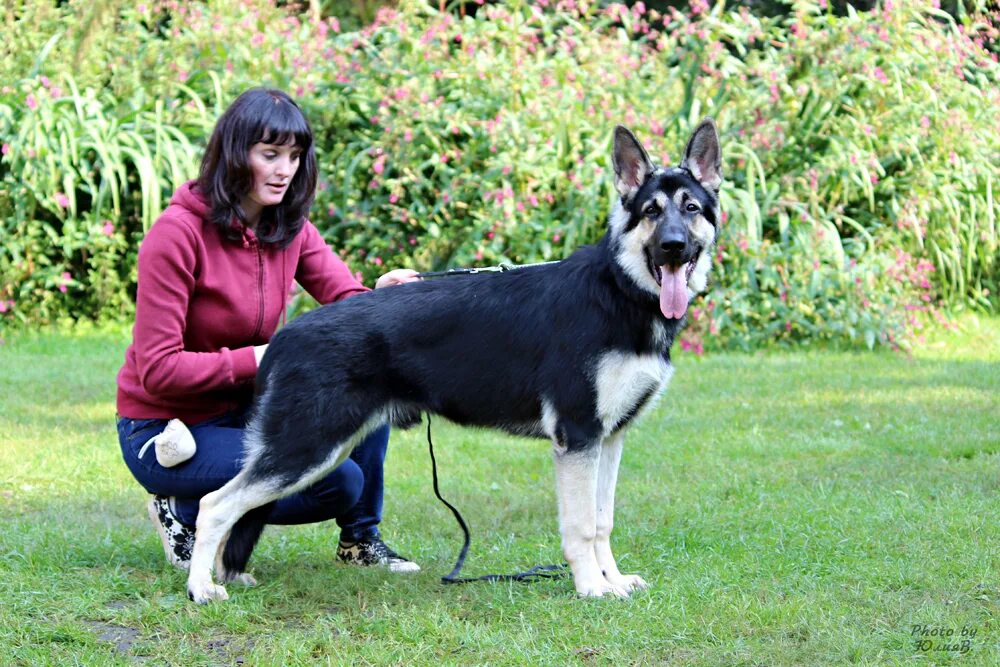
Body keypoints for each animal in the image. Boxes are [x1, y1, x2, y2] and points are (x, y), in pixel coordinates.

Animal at [186, 120, 720, 604]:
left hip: (323, 452)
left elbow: (603, 520)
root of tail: (284, 336)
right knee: (213, 504)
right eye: (651, 212)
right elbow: (582, 525)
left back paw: (221, 574)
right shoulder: (579, 439)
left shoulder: (608, 440)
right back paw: (200, 588)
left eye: (690, 209)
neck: (621, 290)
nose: (673, 247)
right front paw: (591, 587)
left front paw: (613, 579)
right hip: (306, 450)